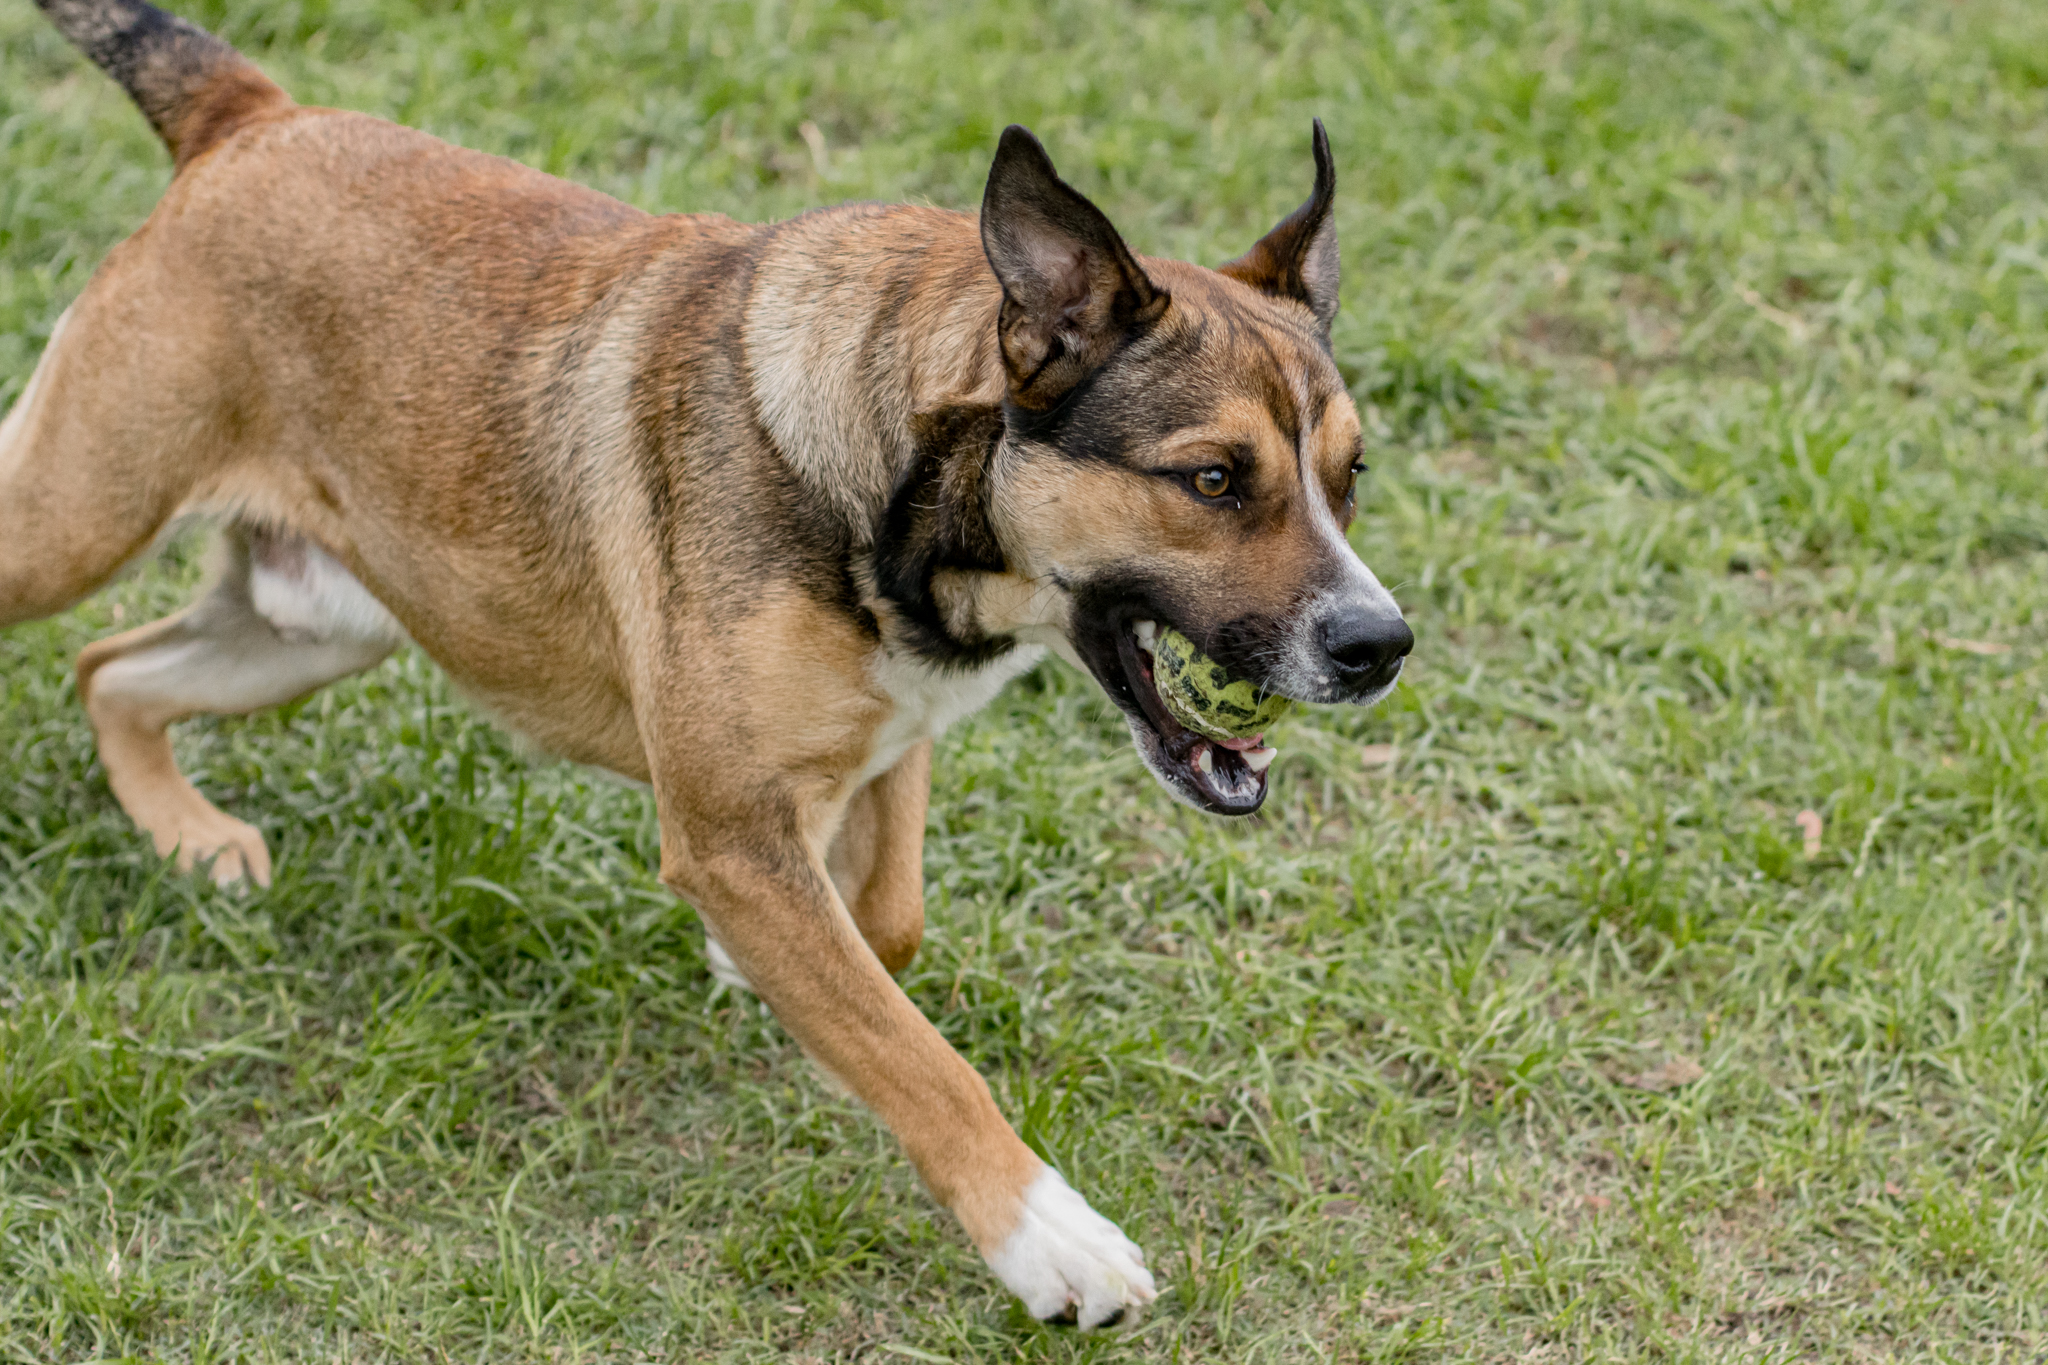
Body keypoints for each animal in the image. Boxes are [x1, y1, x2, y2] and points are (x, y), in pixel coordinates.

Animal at [4, 0, 1409, 1326]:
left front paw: (768, 966)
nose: (1379, 644)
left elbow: (883, 932)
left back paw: (186, 835)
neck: (893, 480)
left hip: (312, 627)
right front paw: (1046, 1238)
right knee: (81, 635)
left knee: (109, 671)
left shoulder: (876, 746)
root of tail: (253, 118)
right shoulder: (730, 832)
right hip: (74, 527)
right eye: (1211, 480)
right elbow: (916, 1054)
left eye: (1349, 476)